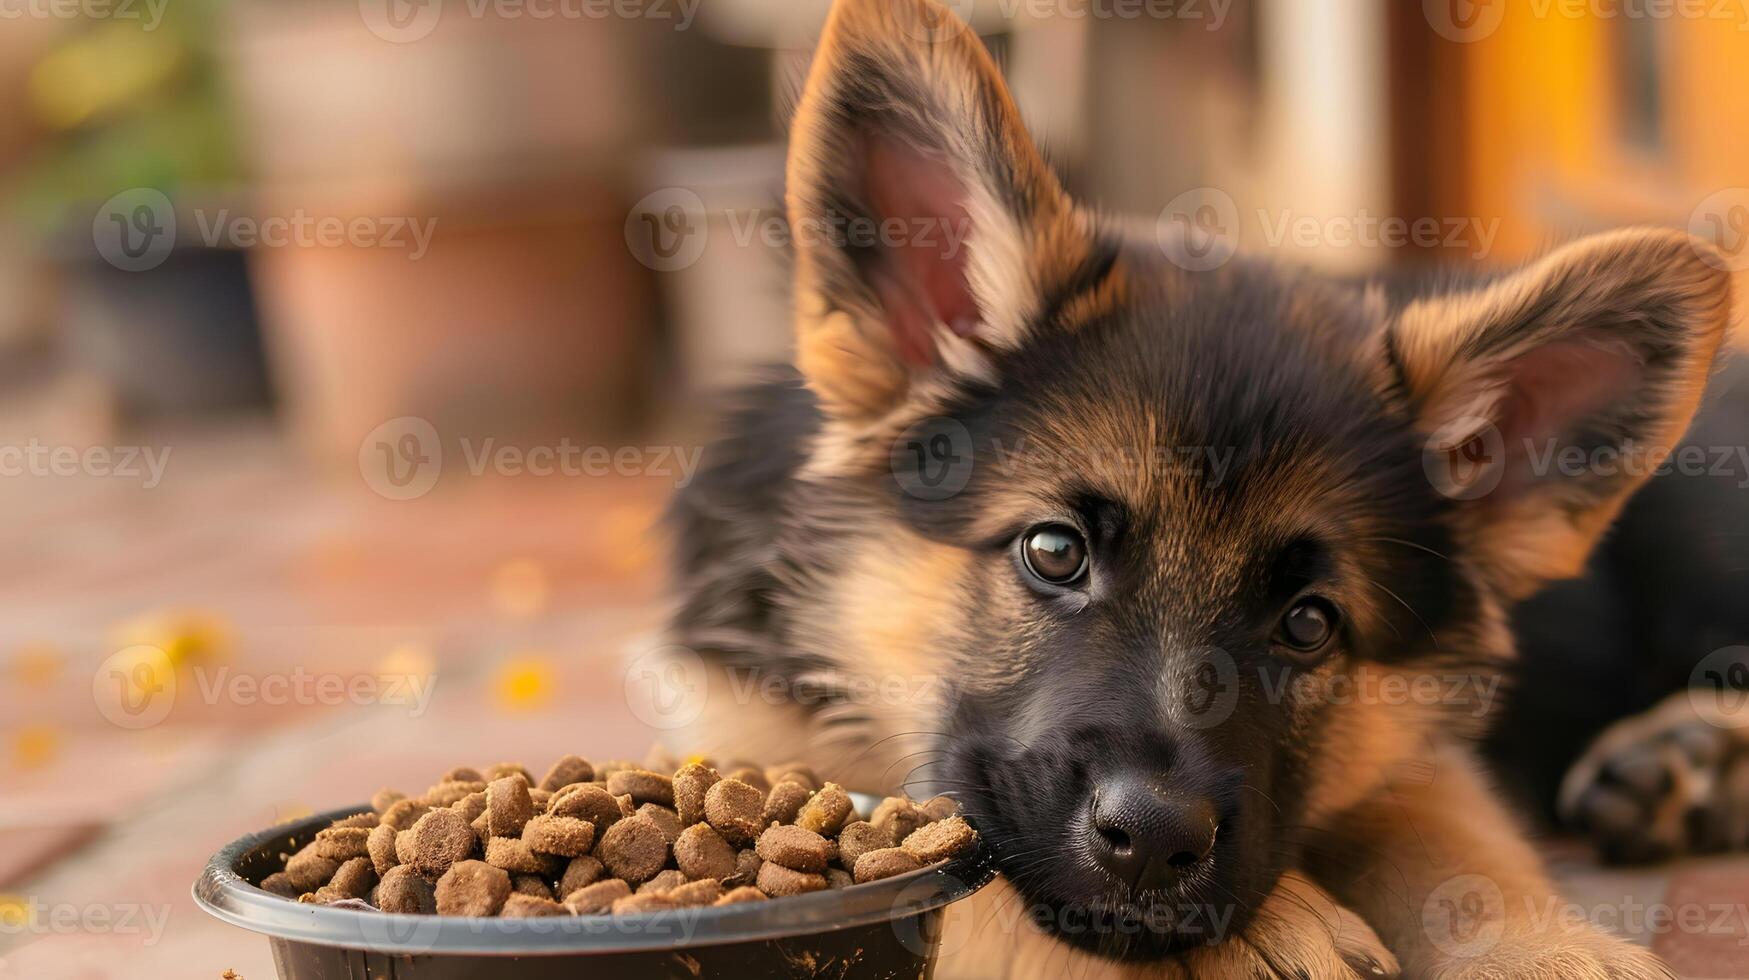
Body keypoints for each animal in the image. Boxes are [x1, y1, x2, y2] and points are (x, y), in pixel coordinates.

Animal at [657, 0, 1735, 973]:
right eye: (1054, 551)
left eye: (1310, 623)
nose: (1153, 840)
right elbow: (966, 871)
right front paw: (1279, 926)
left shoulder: (1418, 745)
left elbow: (1450, 834)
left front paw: (1543, 947)